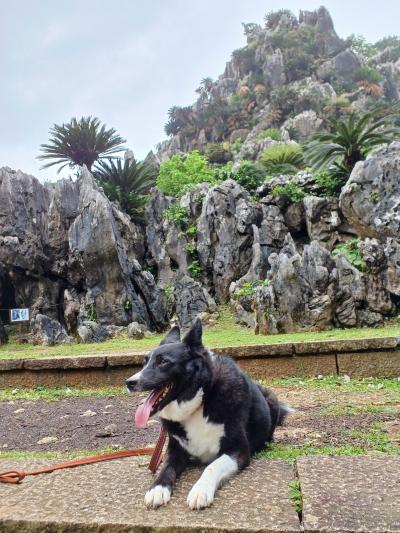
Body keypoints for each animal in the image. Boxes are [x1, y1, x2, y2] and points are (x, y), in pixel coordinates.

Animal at [126, 318, 290, 510]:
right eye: (145, 362)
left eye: (163, 361)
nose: (129, 382)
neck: (201, 400)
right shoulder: (175, 450)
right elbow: (165, 467)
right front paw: (157, 488)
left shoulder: (238, 450)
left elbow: (212, 466)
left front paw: (200, 491)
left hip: (272, 398)